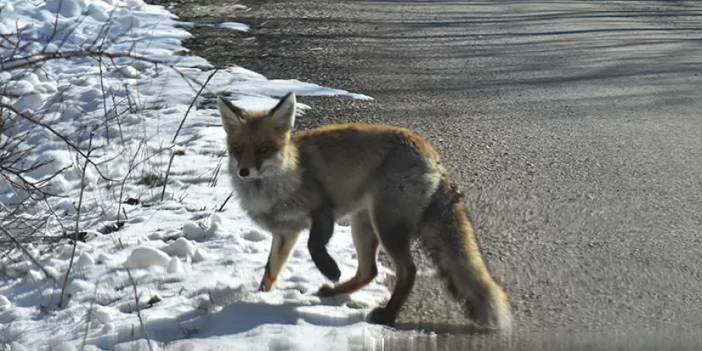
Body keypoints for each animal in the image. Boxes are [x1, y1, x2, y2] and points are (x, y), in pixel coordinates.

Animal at [219, 92, 512, 332]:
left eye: (263, 150)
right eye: (237, 150)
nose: (243, 171)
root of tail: (432, 154)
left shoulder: (323, 210)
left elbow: (314, 245)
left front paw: (330, 268)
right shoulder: (285, 233)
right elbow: (270, 272)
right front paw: (258, 298)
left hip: (386, 225)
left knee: (408, 270)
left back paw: (387, 315)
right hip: (363, 223)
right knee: (369, 271)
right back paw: (334, 292)